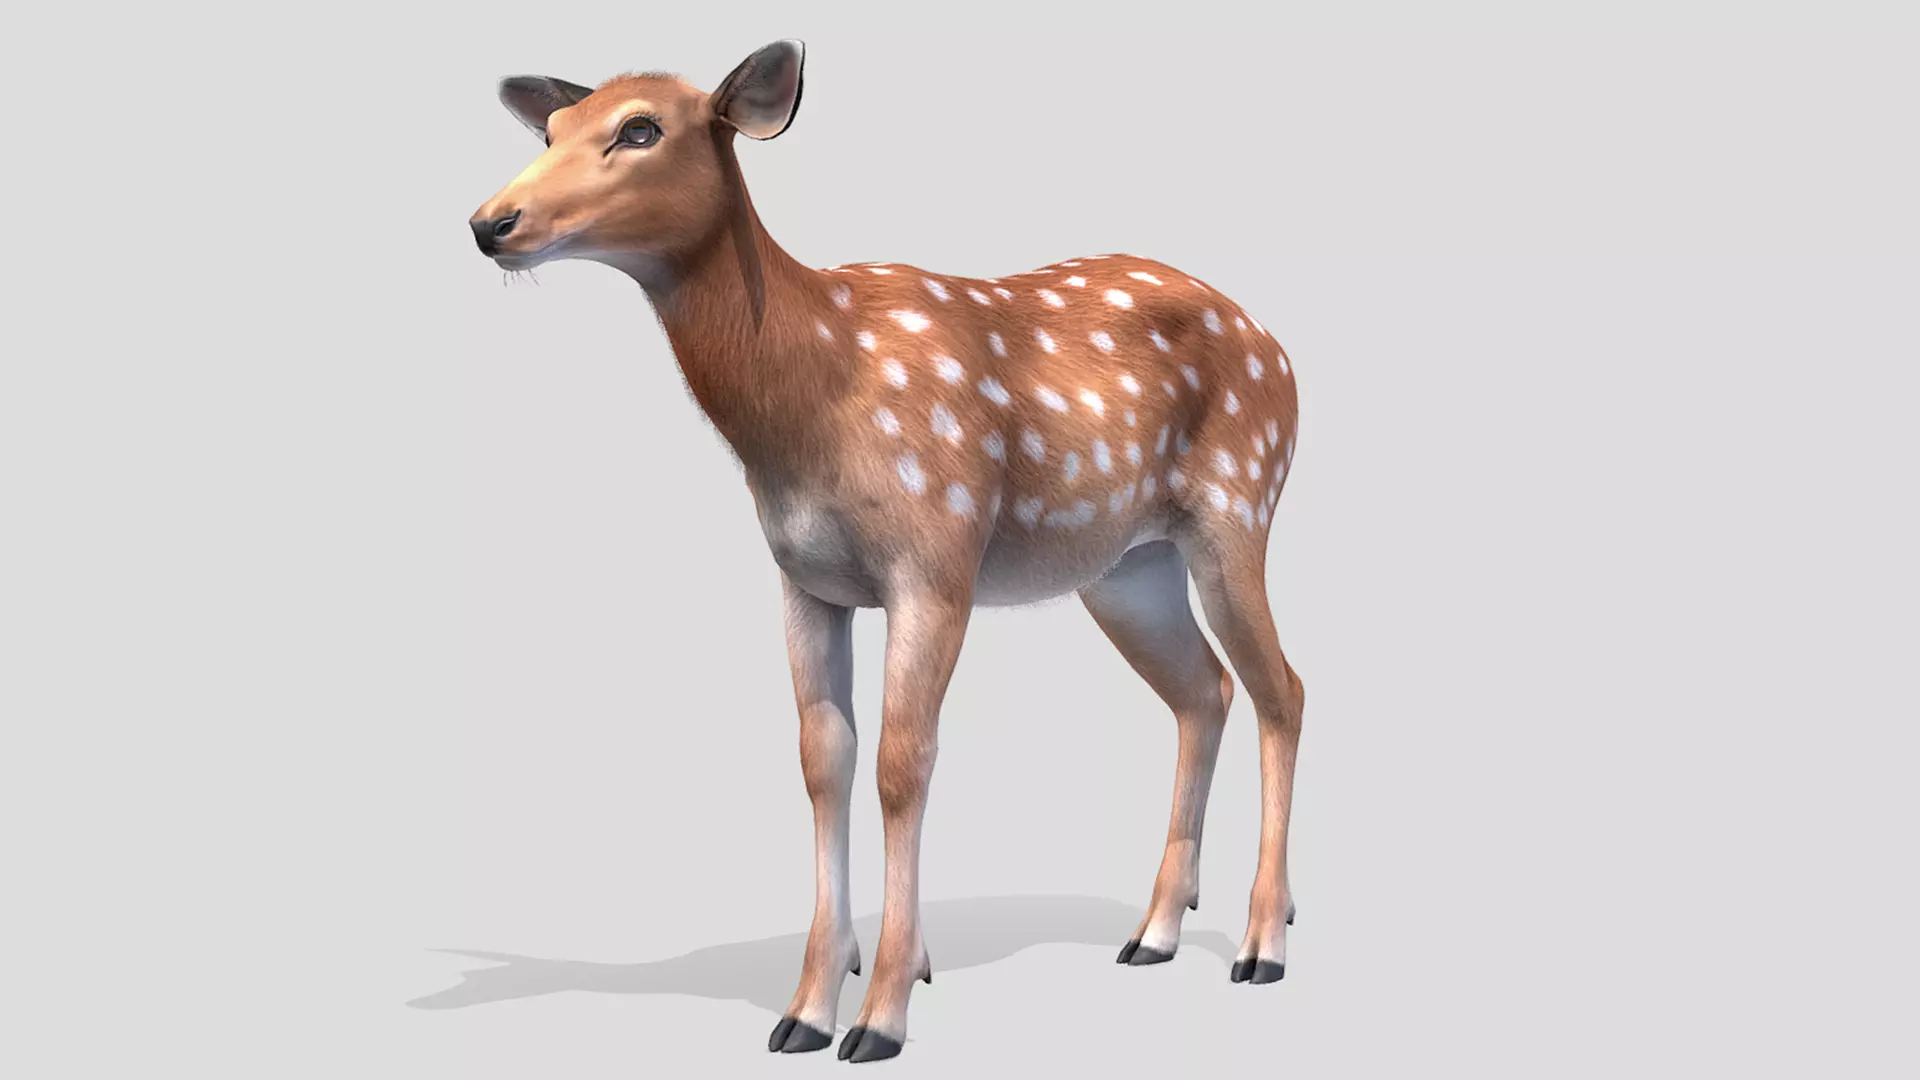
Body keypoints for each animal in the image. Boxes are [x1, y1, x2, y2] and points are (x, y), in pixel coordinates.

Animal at [468, 39, 1305, 1063]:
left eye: (640, 129)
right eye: (548, 131)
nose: (490, 222)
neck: (817, 391)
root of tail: (1281, 351)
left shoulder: (936, 560)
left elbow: (904, 765)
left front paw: (882, 1015)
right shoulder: (805, 581)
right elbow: (823, 759)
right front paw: (809, 1005)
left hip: (1241, 502)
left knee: (1280, 689)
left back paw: (1262, 942)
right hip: (1124, 569)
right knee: (1203, 692)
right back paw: (1153, 932)